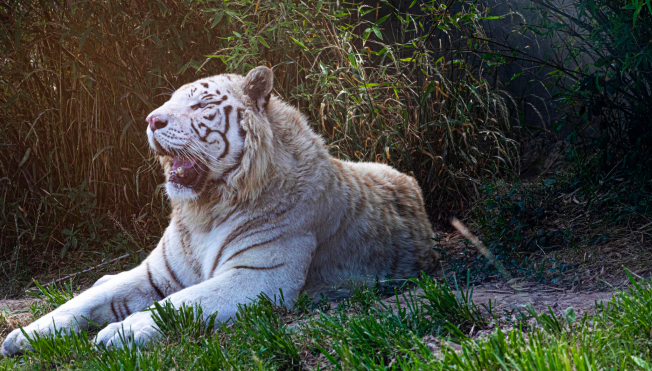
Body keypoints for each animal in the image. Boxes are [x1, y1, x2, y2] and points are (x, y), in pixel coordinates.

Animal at [2, 67, 438, 358]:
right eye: (170, 102)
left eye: (201, 104)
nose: (151, 120)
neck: (205, 209)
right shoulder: (155, 273)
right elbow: (81, 301)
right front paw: (24, 335)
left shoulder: (259, 276)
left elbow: (182, 303)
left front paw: (121, 332)